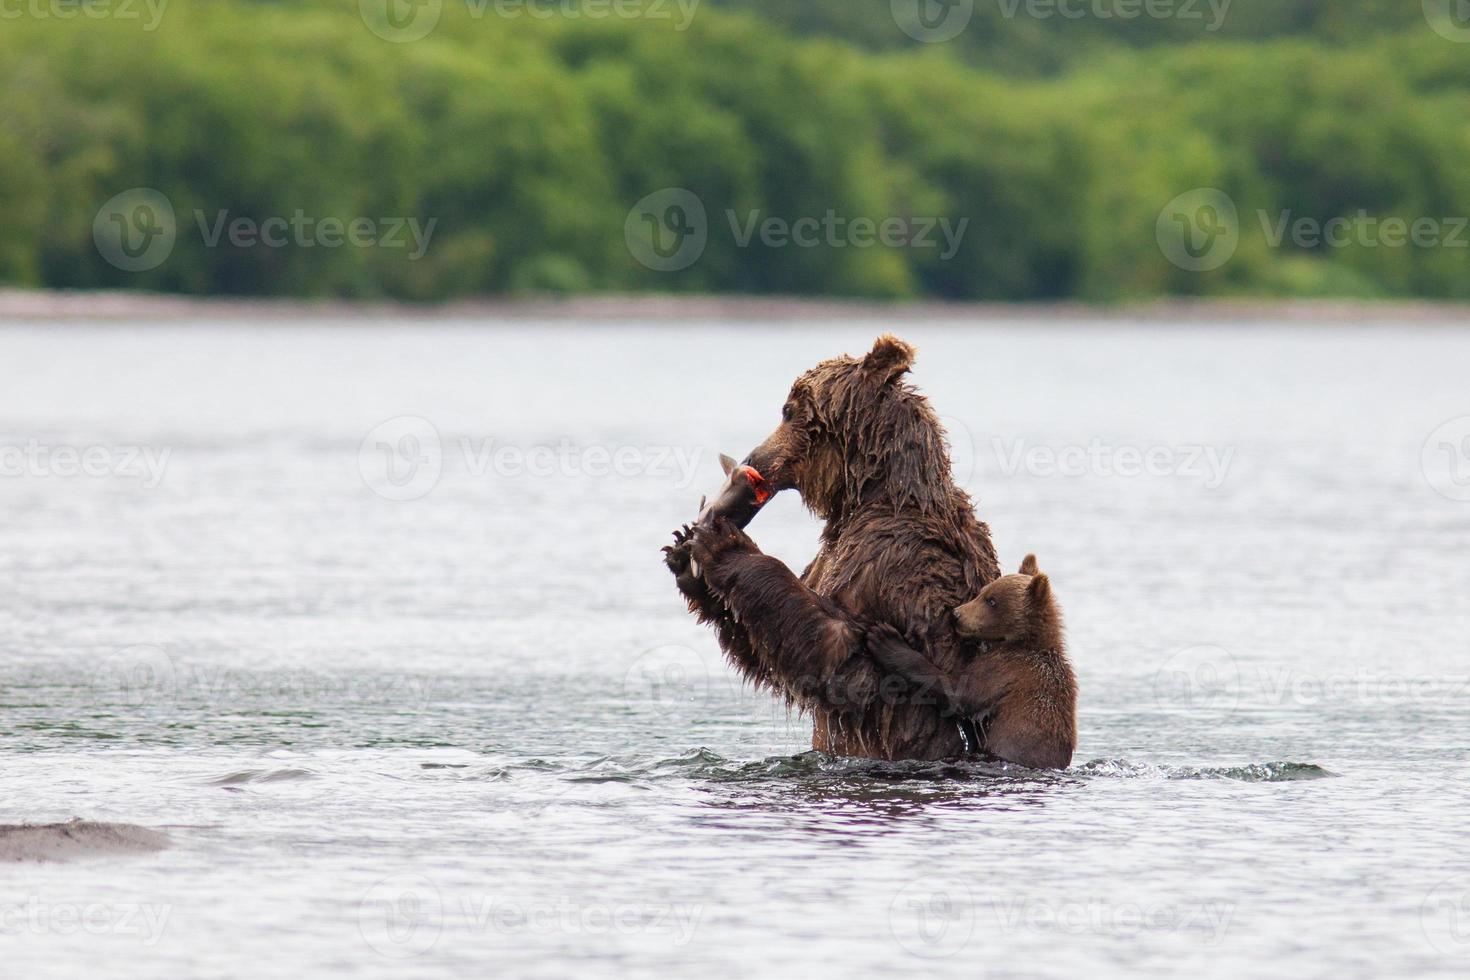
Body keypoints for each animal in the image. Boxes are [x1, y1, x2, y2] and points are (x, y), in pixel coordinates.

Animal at [667, 334, 999, 758]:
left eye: (787, 410)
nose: (752, 460)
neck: (872, 497)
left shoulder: (896, 558)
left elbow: (849, 665)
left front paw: (724, 543)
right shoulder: (829, 556)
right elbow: (768, 650)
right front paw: (684, 556)